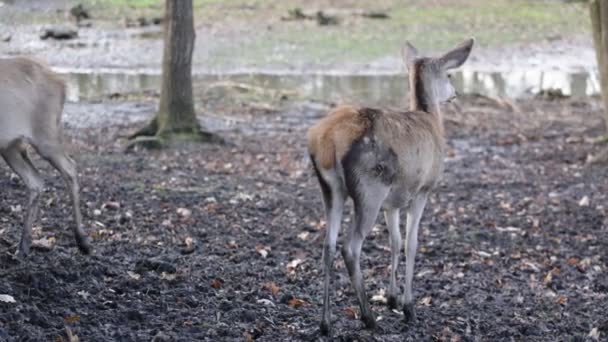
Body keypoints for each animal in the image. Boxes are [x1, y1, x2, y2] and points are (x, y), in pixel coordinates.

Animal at [0, 57, 91, 258]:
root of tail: (62, 84)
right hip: (10, 145)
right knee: (35, 180)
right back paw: (23, 247)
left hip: (46, 133)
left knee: (70, 167)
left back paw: (83, 241)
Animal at [308, 38, 476, 332]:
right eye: (450, 74)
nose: (455, 94)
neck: (431, 120)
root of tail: (326, 140)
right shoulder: (422, 190)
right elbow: (411, 243)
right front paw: (408, 307)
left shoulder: (393, 201)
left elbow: (395, 241)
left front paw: (391, 298)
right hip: (369, 188)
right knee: (350, 247)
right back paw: (368, 318)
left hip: (331, 188)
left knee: (328, 246)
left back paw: (326, 322)